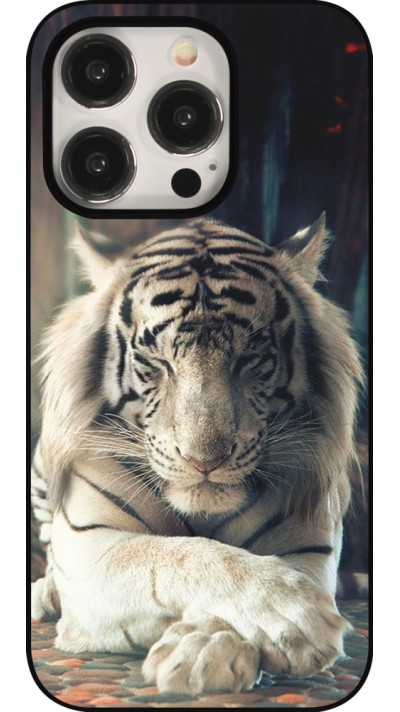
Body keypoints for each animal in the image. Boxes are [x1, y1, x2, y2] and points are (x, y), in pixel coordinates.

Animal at [31, 215, 363, 695]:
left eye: (251, 358)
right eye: (156, 361)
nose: (204, 461)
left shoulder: (308, 544)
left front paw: (205, 650)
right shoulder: (91, 545)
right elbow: (181, 555)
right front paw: (294, 616)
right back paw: (45, 592)